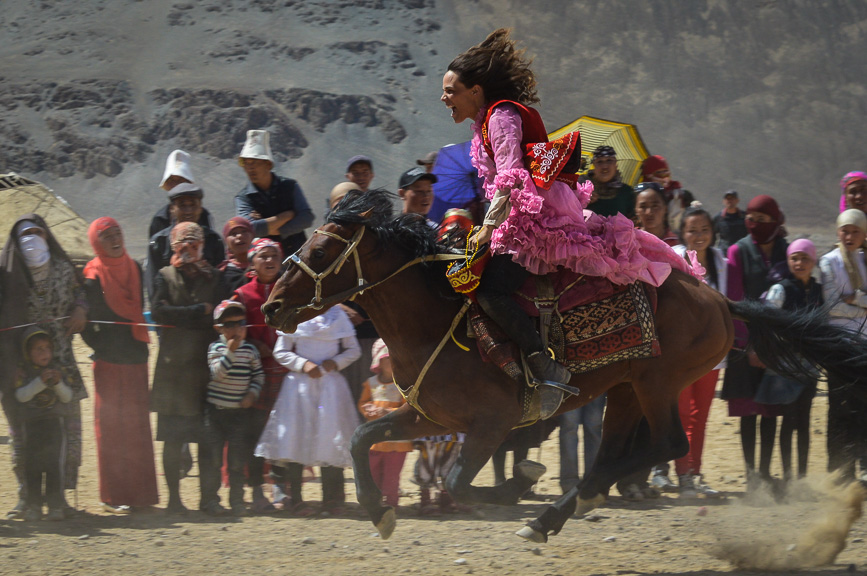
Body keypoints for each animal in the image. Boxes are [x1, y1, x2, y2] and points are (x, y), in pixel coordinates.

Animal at [262, 190, 867, 544]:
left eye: (321, 253)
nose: (270, 305)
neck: (437, 321)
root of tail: (718, 297)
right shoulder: (429, 417)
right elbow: (362, 437)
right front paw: (378, 511)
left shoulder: (491, 423)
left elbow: (459, 481)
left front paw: (516, 483)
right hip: (625, 388)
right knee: (615, 450)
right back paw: (567, 507)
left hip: (657, 381)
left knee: (668, 443)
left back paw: (557, 508)